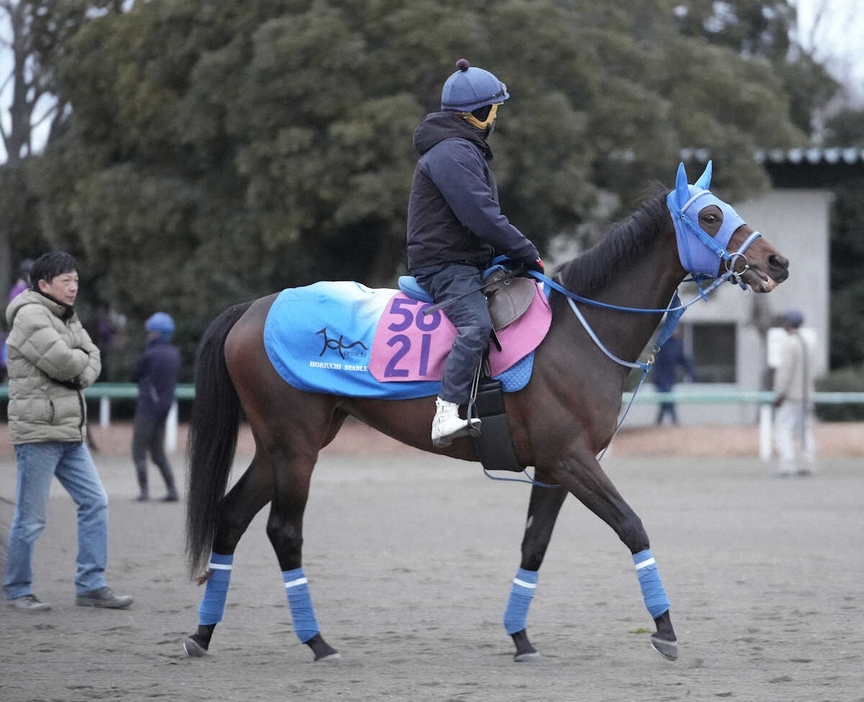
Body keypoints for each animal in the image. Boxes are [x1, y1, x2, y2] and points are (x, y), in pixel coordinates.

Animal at [182, 164, 788, 664]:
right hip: (296, 447)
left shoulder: (554, 469)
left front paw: (520, 637)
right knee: (283, 532)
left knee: (231, 518)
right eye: (711, 215)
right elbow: (631, 526)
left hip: (279, 446)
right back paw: (317, 642)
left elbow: (534, 545)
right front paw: (664, 629)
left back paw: (203, 634)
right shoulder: (572, 460)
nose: (776, 261)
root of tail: (253, 309)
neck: (577, 330)